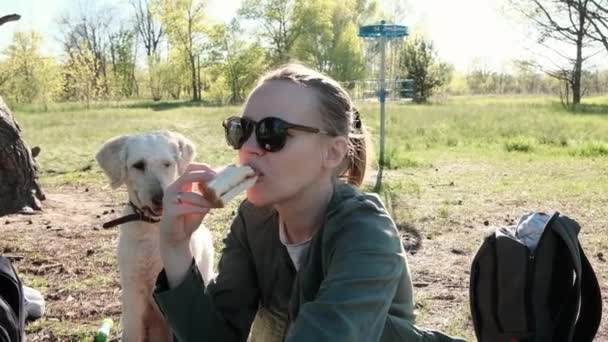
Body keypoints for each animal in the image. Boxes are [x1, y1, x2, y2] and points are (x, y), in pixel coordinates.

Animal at [96, 131, 215, 342]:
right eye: (138, 165)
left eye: (167, 164)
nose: (160, 199)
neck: (154, 229)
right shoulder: (133, 289)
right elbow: (132, 331)